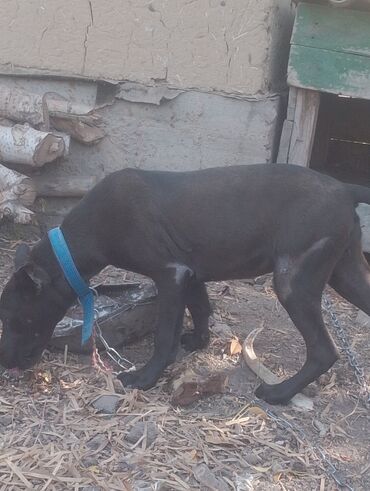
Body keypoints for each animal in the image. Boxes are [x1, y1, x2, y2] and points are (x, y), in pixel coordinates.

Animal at [0, 163, 370, 406]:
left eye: (19, 319)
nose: (5, 361)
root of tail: (344, 188)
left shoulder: (170, 274)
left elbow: (164, 337)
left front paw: (144, 379)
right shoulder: (191, 273)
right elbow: (201, 307)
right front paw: (198, 341)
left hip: (293, 281)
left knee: (323, 351)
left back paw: (279, 393)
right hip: (345, 273)